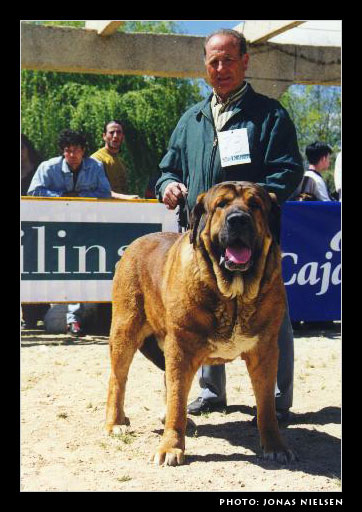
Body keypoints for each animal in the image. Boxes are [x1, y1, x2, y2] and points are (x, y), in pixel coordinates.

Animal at [105, 182, 296, 466]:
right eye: (221, 204)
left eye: (255, 205)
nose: (238, 219)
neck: (234, 296)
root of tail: (135, 244)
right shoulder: (181, 347)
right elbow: (176, 397)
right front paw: (171, 448)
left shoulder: (265, 351)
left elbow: (266, 406)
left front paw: (275, 445)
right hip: (125, 330)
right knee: (119, 379)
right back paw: (115, 423)